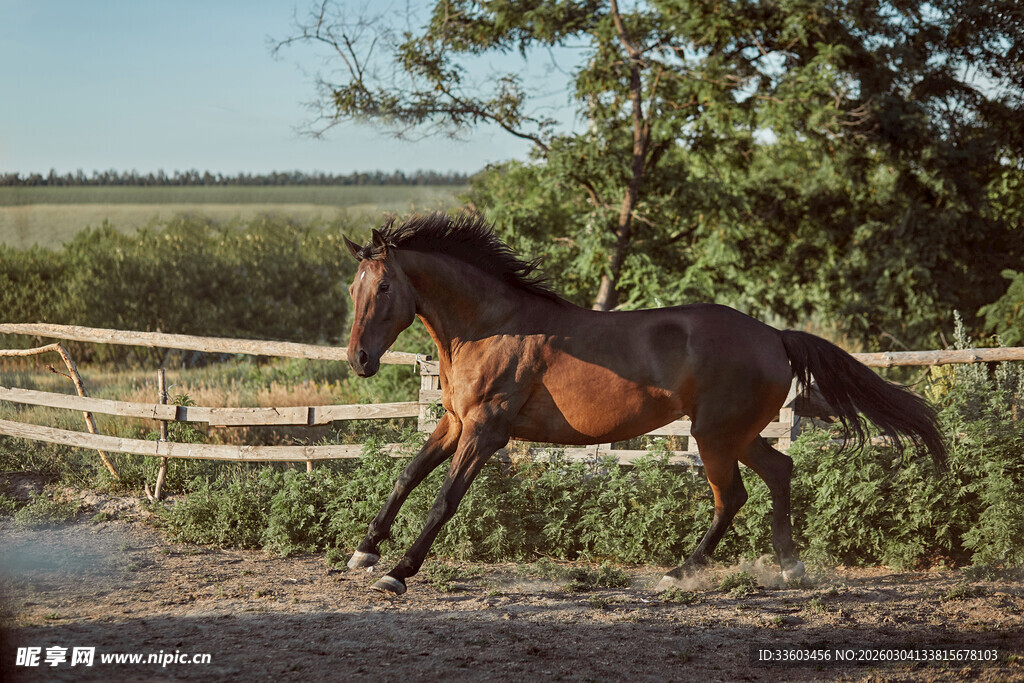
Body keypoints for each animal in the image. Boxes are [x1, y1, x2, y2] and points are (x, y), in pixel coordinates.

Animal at [341, 212, 946, 596]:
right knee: (780, 470)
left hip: (715, 437)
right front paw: (364, 552)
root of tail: (775, 336)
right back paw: (789, 566)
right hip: (738, 435)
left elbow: (444, 499)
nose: (360, 360)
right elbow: (407, 477)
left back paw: (680, 573)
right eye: (353, 288)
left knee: (734, 496)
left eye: (385, 288)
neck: (491, 327)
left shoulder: (485, 432)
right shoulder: (452, 424)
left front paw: (398, 572)